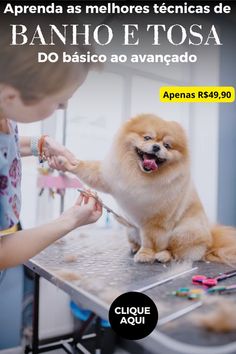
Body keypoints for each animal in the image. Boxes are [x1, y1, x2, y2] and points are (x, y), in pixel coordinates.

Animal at [66, 115, 236, 264]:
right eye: (147, 138)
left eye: (167, 146)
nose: (156, 147)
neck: (140, 176)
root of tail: (211, 240)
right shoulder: (110, 177)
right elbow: (93, 173)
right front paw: (71, 164)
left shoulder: (155, 221)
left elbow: (151, 240)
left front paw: (146, 255)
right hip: (130, 230)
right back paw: (135, 247)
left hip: (184, 232)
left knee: (175, 252)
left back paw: (163, 255)